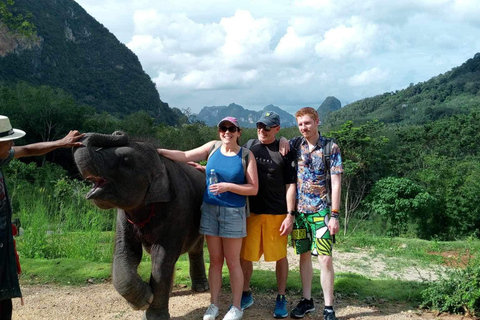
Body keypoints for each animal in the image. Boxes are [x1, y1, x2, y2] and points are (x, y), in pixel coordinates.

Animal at [72, 131, 208, 320]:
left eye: (125, 160)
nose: (118, 132)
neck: (160, 163)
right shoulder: (123, 217)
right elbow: (125, 251)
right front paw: (144, 298)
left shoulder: (178, 209)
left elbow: (162, 258)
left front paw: (151, 309)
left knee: (196, 247)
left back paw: (201, 288)